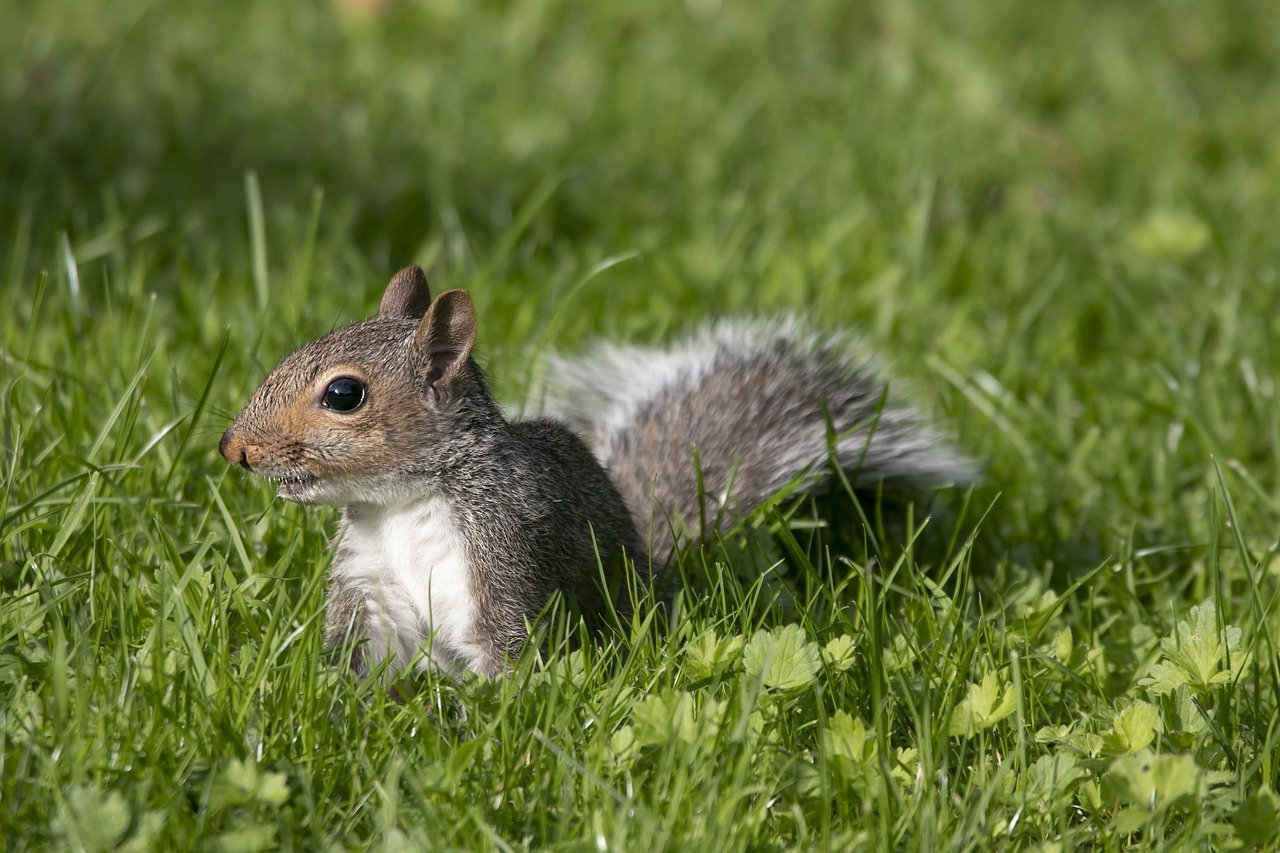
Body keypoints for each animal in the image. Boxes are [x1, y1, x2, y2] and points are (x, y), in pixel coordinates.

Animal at [220, 266, 972, 676]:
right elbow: (360, 664)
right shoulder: (368, 588)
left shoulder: (503, 554)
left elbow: (505, 656)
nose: (234, 448)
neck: (401, 504)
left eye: (344, 394)